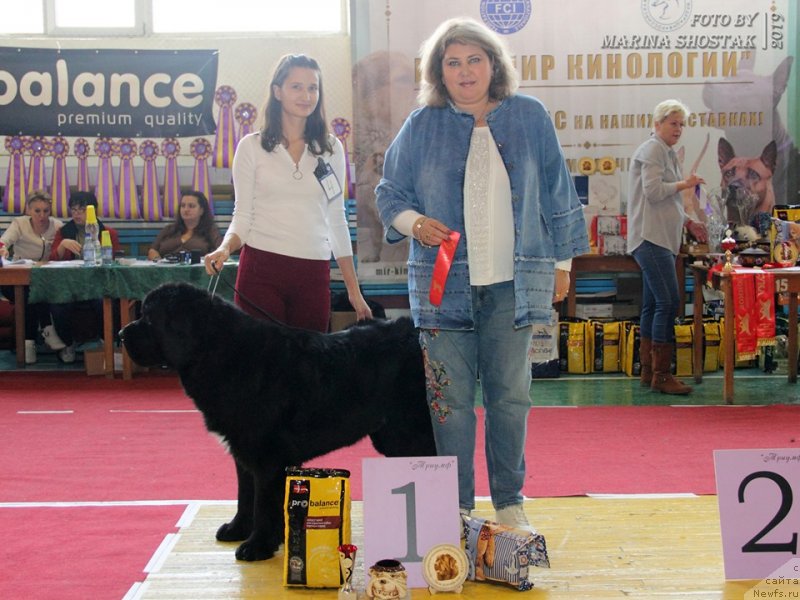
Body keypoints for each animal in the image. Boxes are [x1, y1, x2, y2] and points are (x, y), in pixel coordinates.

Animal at [122, 284, 438, 560]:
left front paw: (257, 546)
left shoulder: (267, 455)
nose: (122, 334)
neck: (222, 353)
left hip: (410, 432)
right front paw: (237, 529)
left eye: (149, 318)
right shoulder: (243, 450)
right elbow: (245, 495)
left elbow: (263, 502)